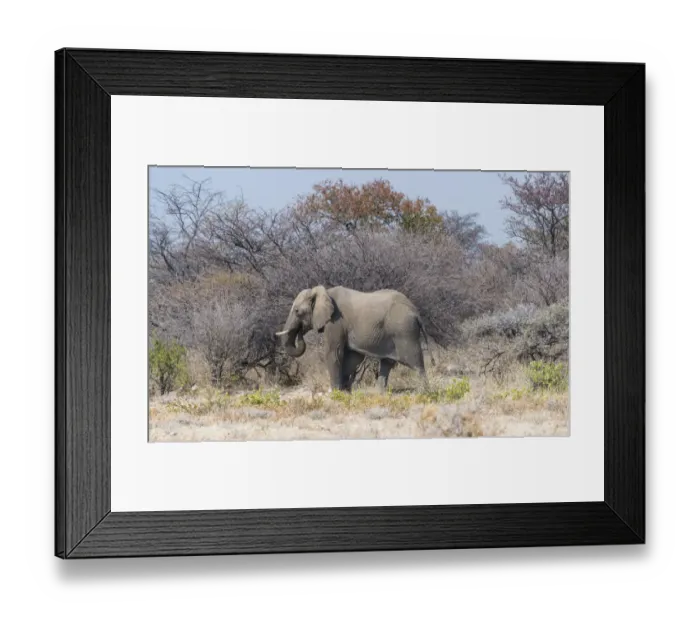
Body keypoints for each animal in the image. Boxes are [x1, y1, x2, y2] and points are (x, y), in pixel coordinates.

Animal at [275, 285, 433, 393]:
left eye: (297, 311)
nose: (300, 331)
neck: (324, 292)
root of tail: (416, 312)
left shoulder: (336, 322)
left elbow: (334, 353)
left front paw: (336, 393)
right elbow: (353, 357)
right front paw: (345, 391)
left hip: (404, 331)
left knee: (415, 362)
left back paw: (424, 392)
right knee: (387, 363)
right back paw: (380, 394)